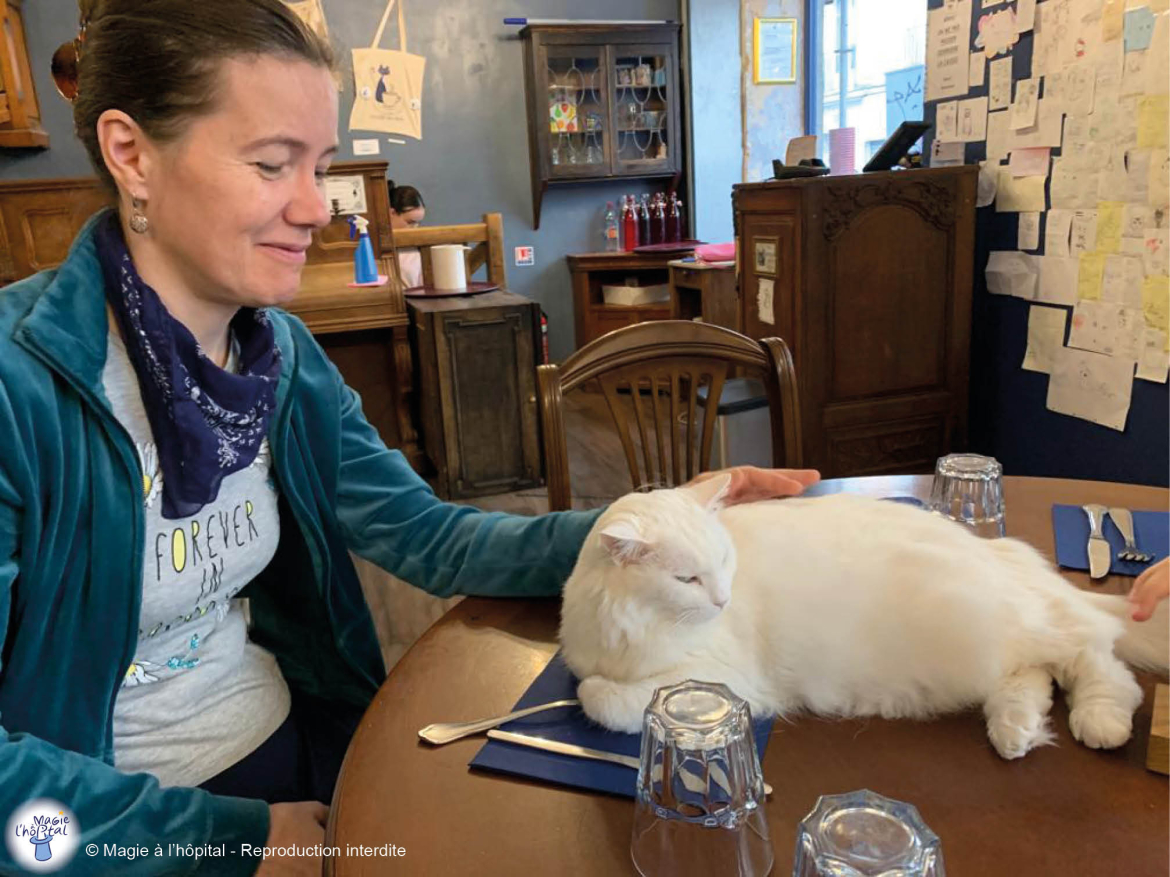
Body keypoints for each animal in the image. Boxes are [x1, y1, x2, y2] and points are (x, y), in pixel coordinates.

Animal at [559, 477, 1170, 757]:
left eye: (725, 562)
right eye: (688, 579)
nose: (723, 600)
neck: (621, 628)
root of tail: (999, 551)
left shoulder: (719, 679)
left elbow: (597, 696)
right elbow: (589, 682)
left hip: (1006, 621)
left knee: (1096, 656)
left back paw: (1100, 720)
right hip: (995, 650)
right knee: (1037, 675)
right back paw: (1014, 730)